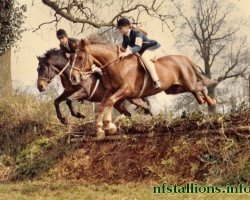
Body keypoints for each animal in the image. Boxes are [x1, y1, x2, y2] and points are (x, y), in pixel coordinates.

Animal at [69, 38, 216, 139]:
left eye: (80, 57)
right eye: (72, 58)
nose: (73, 77)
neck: (115, 65)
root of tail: (184, 58)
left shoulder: (125, 90)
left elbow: (110, 102)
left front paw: (109, 126)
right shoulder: (110, 91)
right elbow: (102, 106)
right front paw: (99, 130)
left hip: (187, 82)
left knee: (199, 86)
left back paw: (211, 101)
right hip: (174, 89)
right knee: (197, 90)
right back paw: (204, 101)